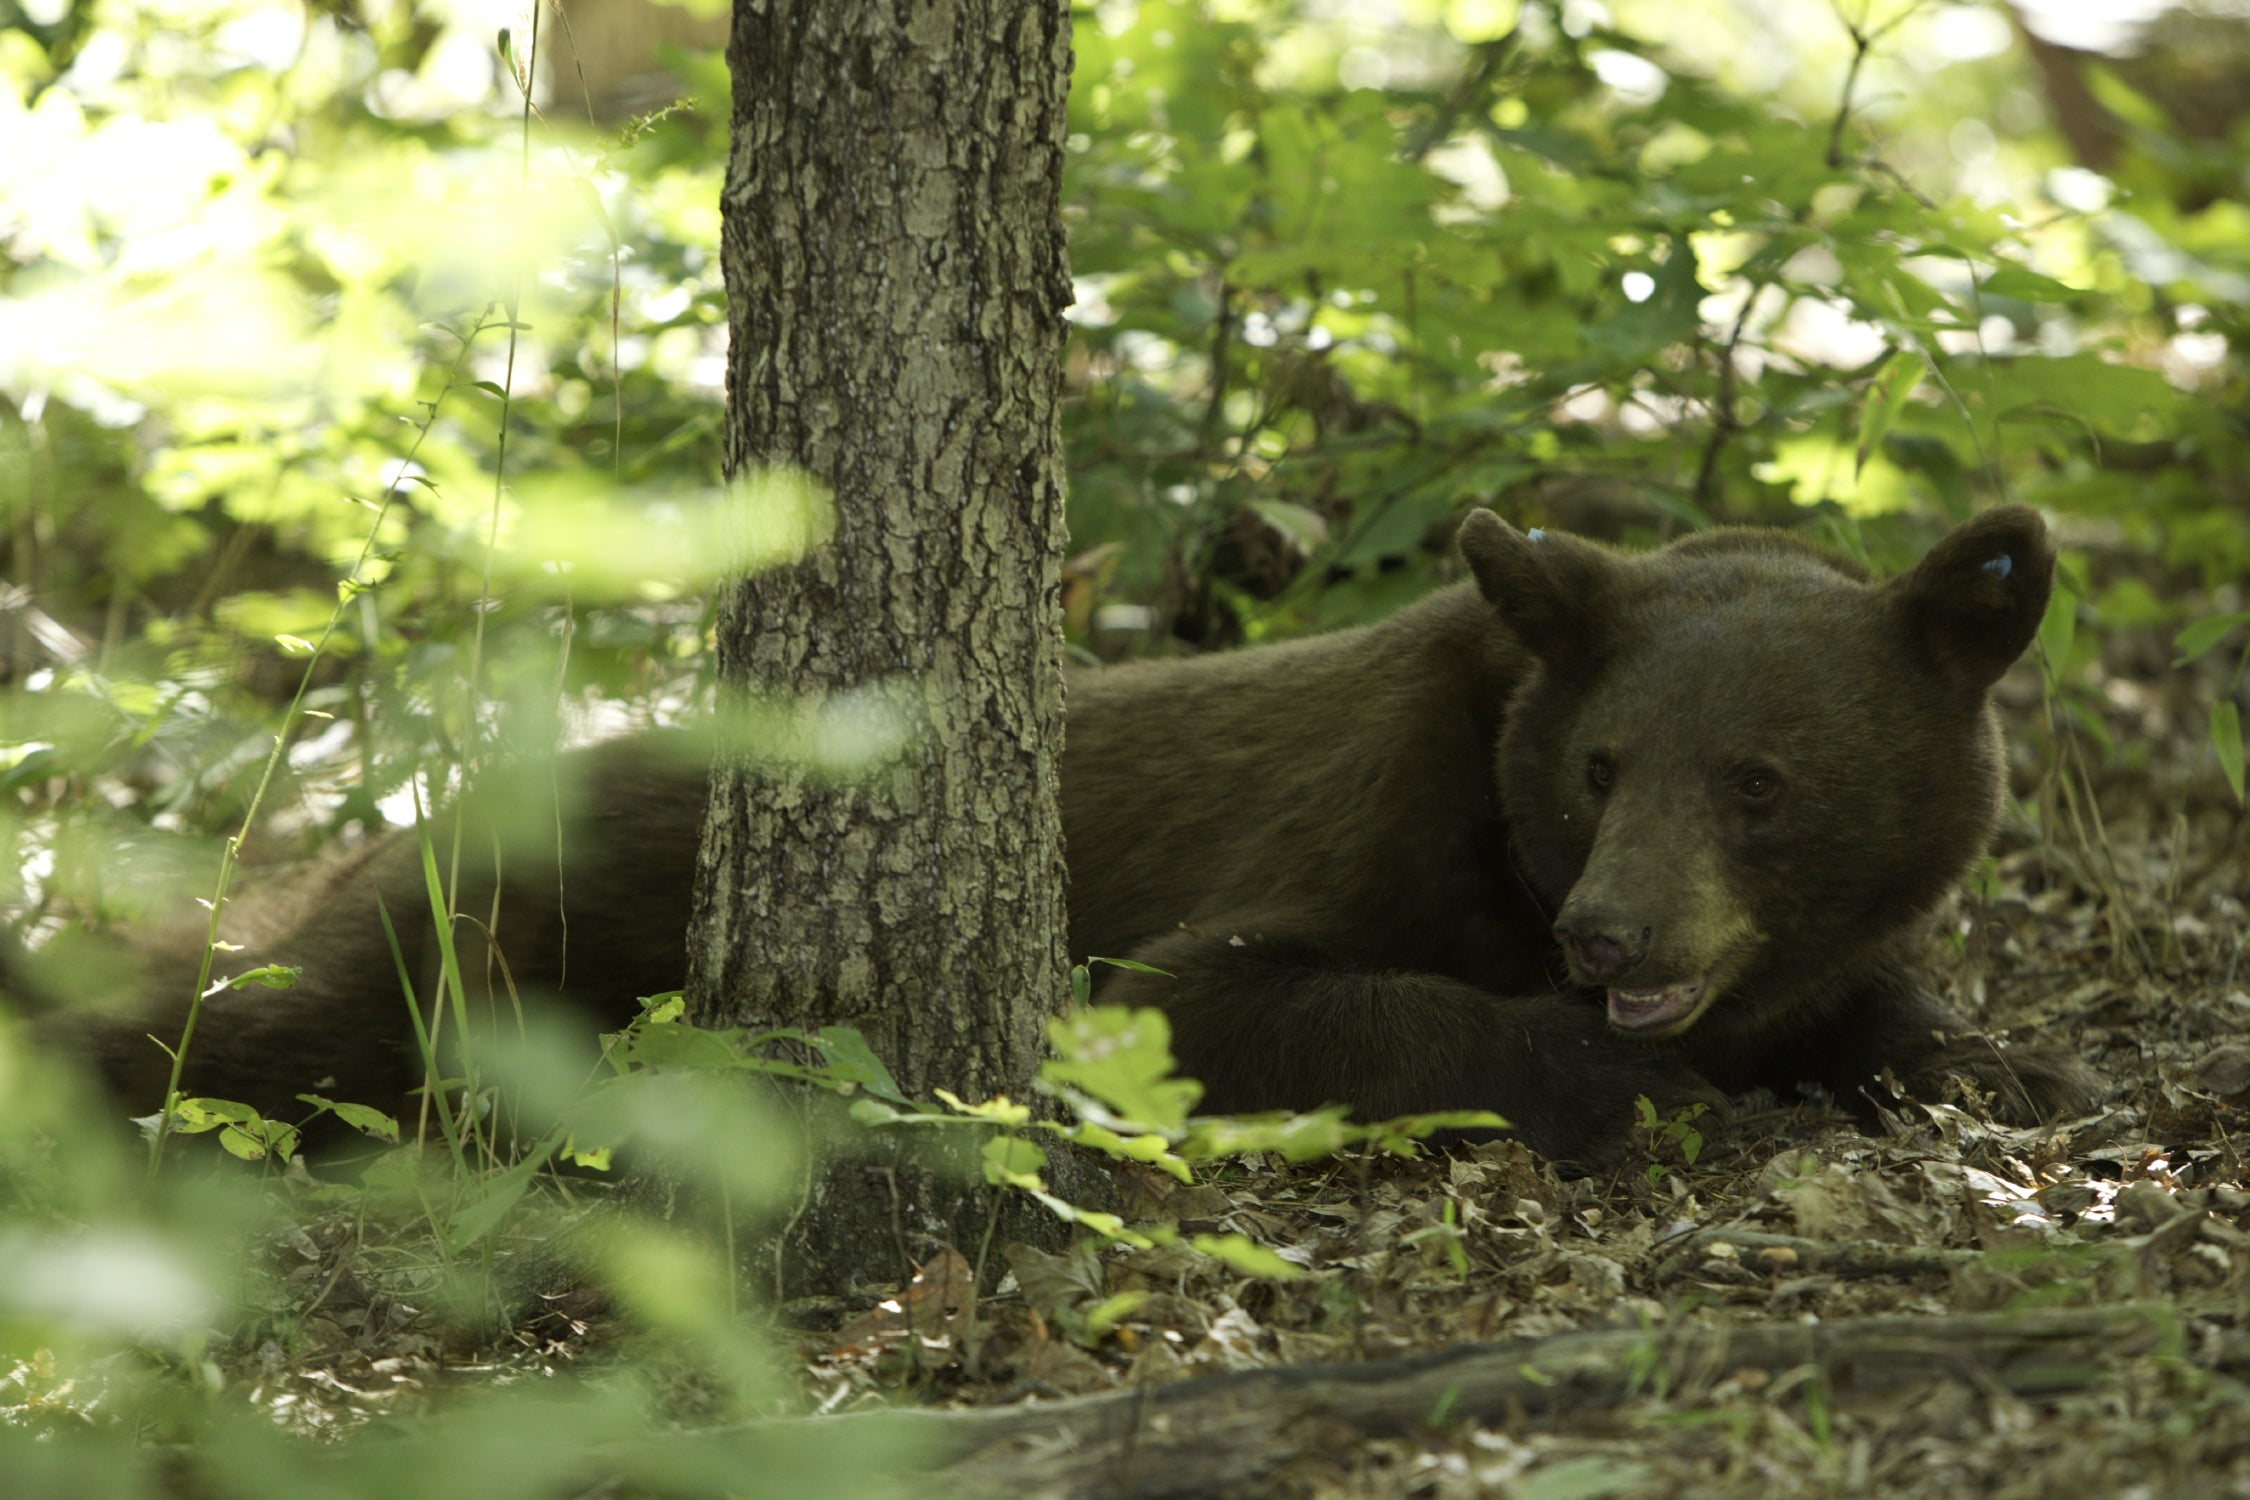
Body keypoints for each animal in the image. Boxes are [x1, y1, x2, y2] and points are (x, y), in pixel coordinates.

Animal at [39, 503, 2106, 1160]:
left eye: (1760, 781)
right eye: (1602, 766)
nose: (1617, 940)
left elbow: (1881, 1007)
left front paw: (2001, 1068)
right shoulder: (1360, 825)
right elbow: (1190, 997)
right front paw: (1613, 1080)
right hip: (473, 933)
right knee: (269, 1027)